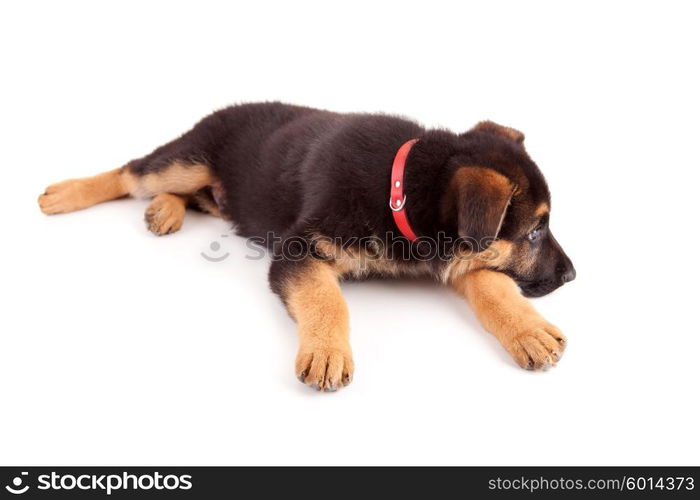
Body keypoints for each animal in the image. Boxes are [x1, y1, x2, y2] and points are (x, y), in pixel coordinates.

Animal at [37, 101, 576, 390]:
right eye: (534, 231)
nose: (572, 276)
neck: (399, 188)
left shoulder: (455, 255)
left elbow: (493, 285)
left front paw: (529, 331)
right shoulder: (298, 250)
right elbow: (326, 300)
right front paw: (326, 351)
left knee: (181, 194)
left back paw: (164, 211)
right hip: (188, 159)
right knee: (132, 172)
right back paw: (65, 193)